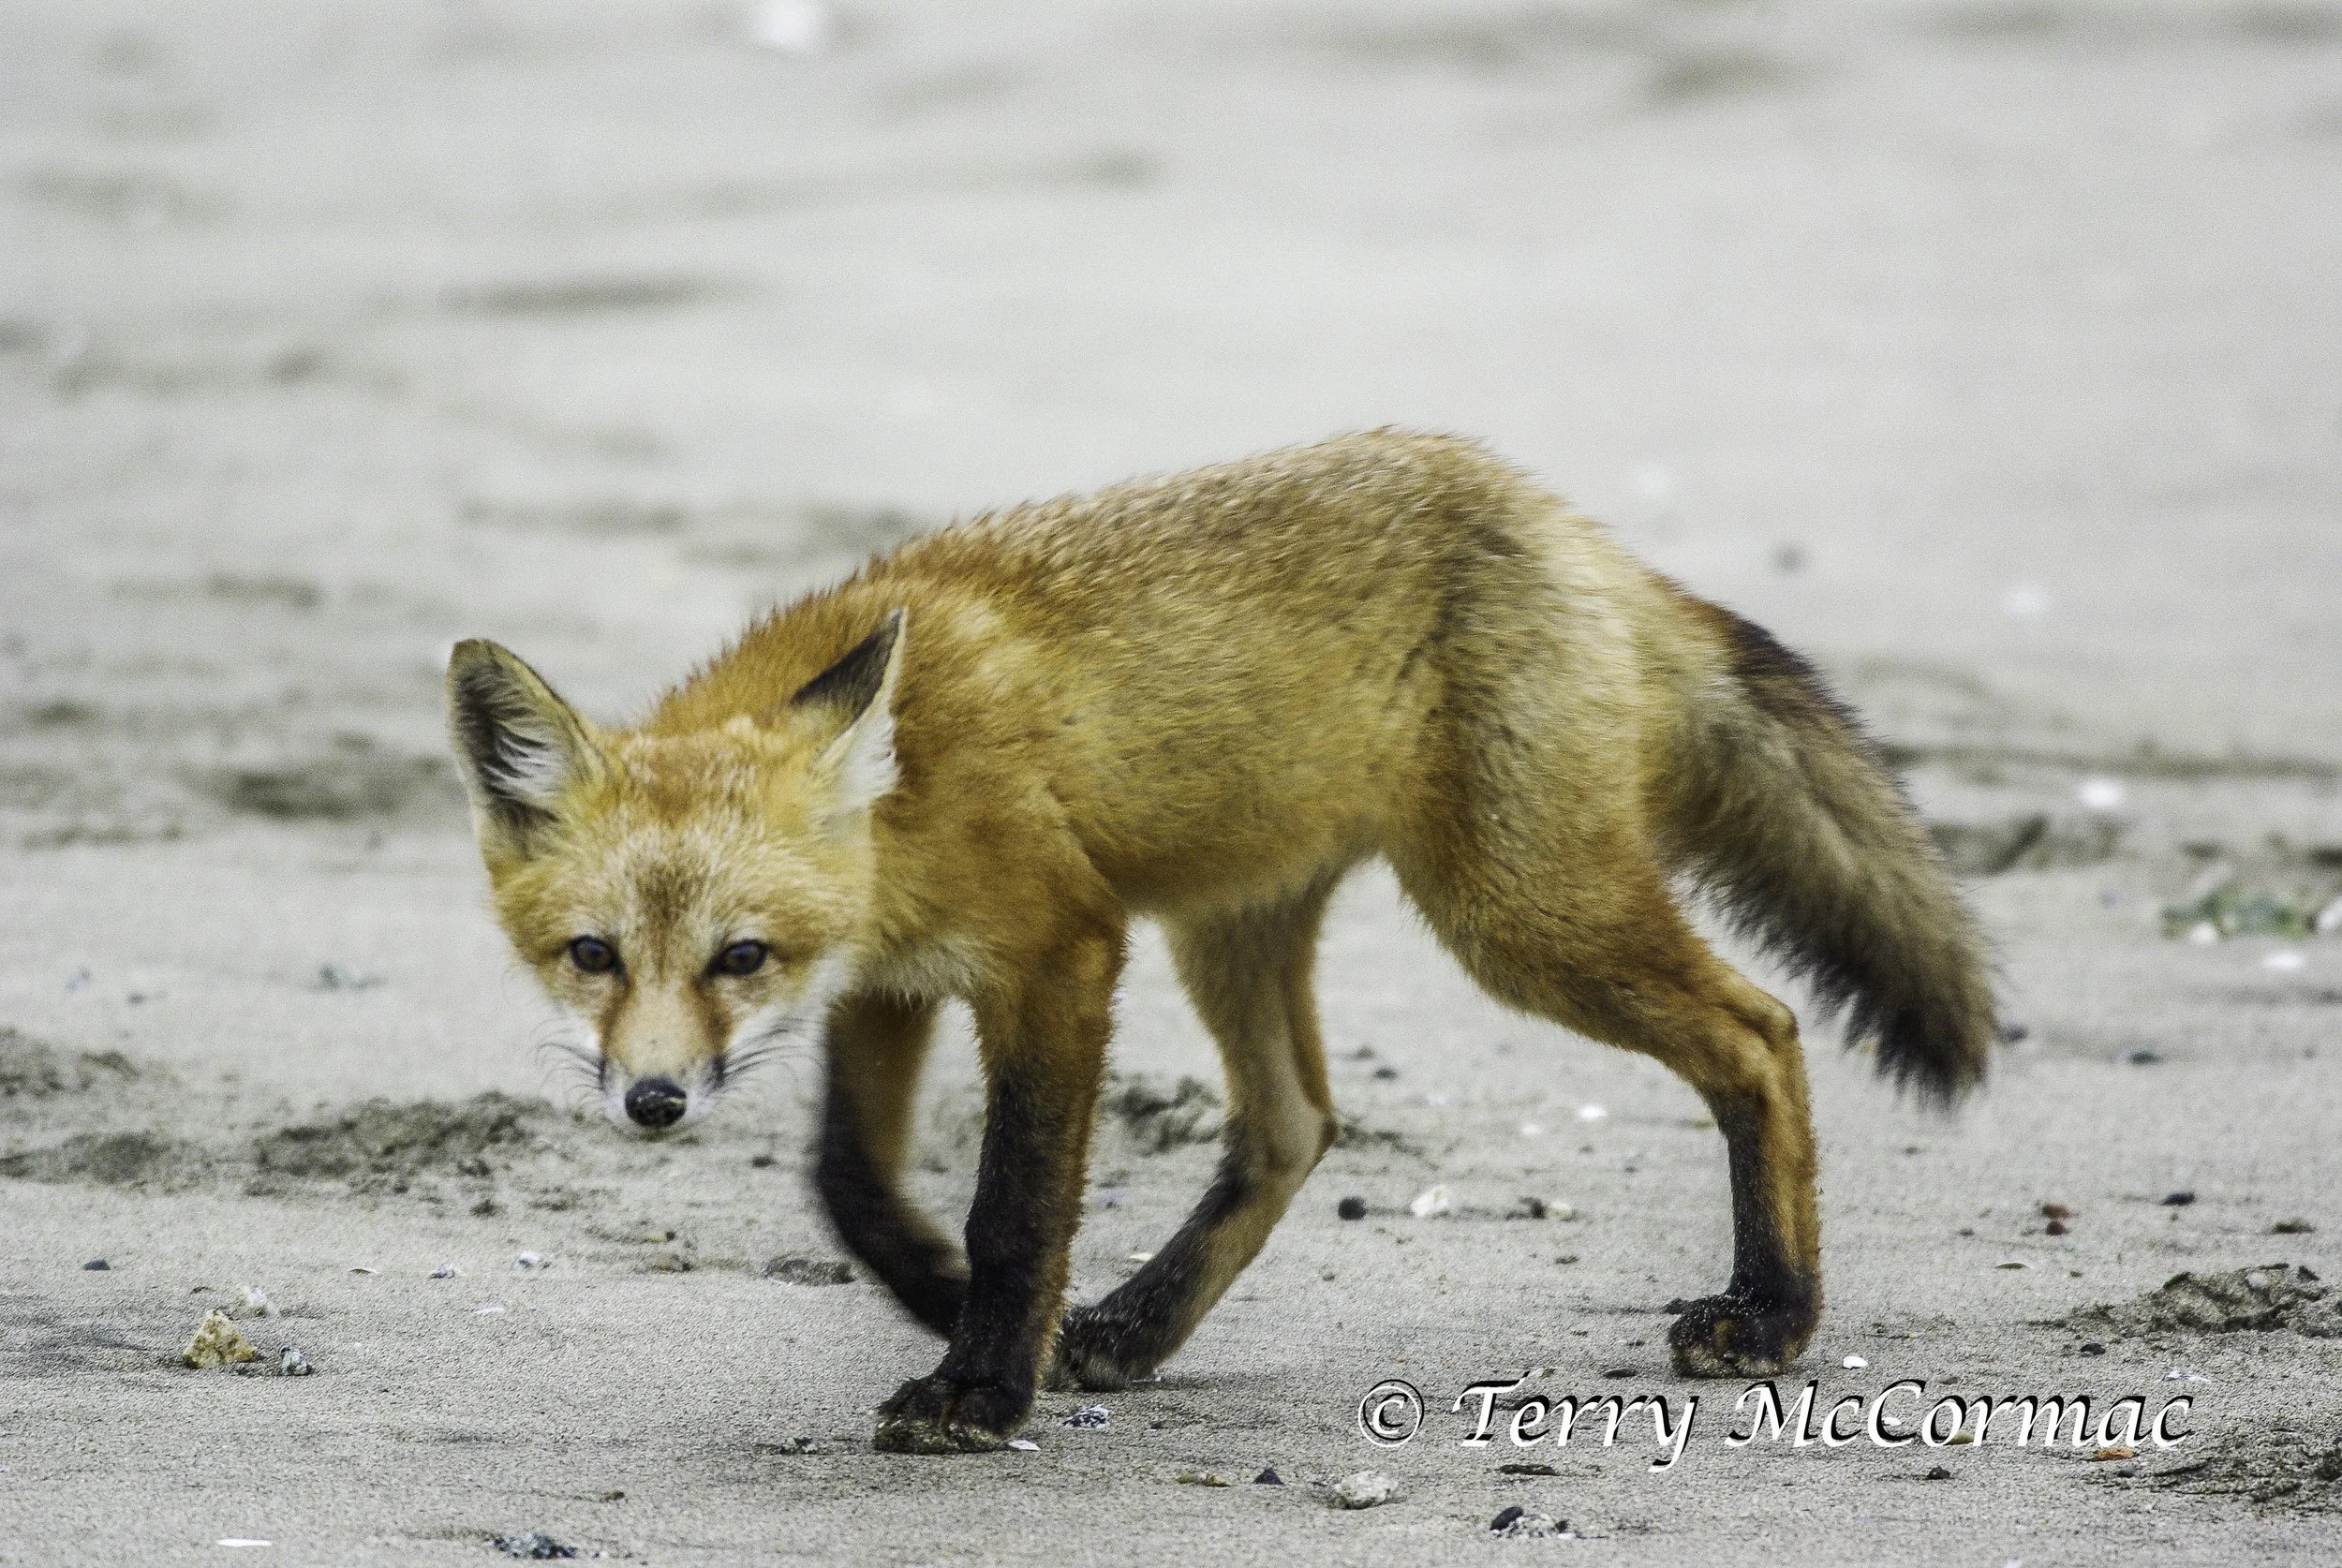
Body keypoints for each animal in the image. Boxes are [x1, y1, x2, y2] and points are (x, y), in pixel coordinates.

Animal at [445, 430, 1995, 1454]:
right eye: (591, 953)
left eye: (739, 956)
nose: (653, 1101)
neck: (910, 783)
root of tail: (1570, 526)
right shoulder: (891, 985)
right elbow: (853, 1185)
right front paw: (952, 1300)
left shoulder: (1058, 954)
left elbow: (1017, 1204)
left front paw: (981, 1377)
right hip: (1233, 925)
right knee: (1292, 1122)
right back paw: (1136, 1325)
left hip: (1517, 916)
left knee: (1761, 1030)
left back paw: (1772, 1308)